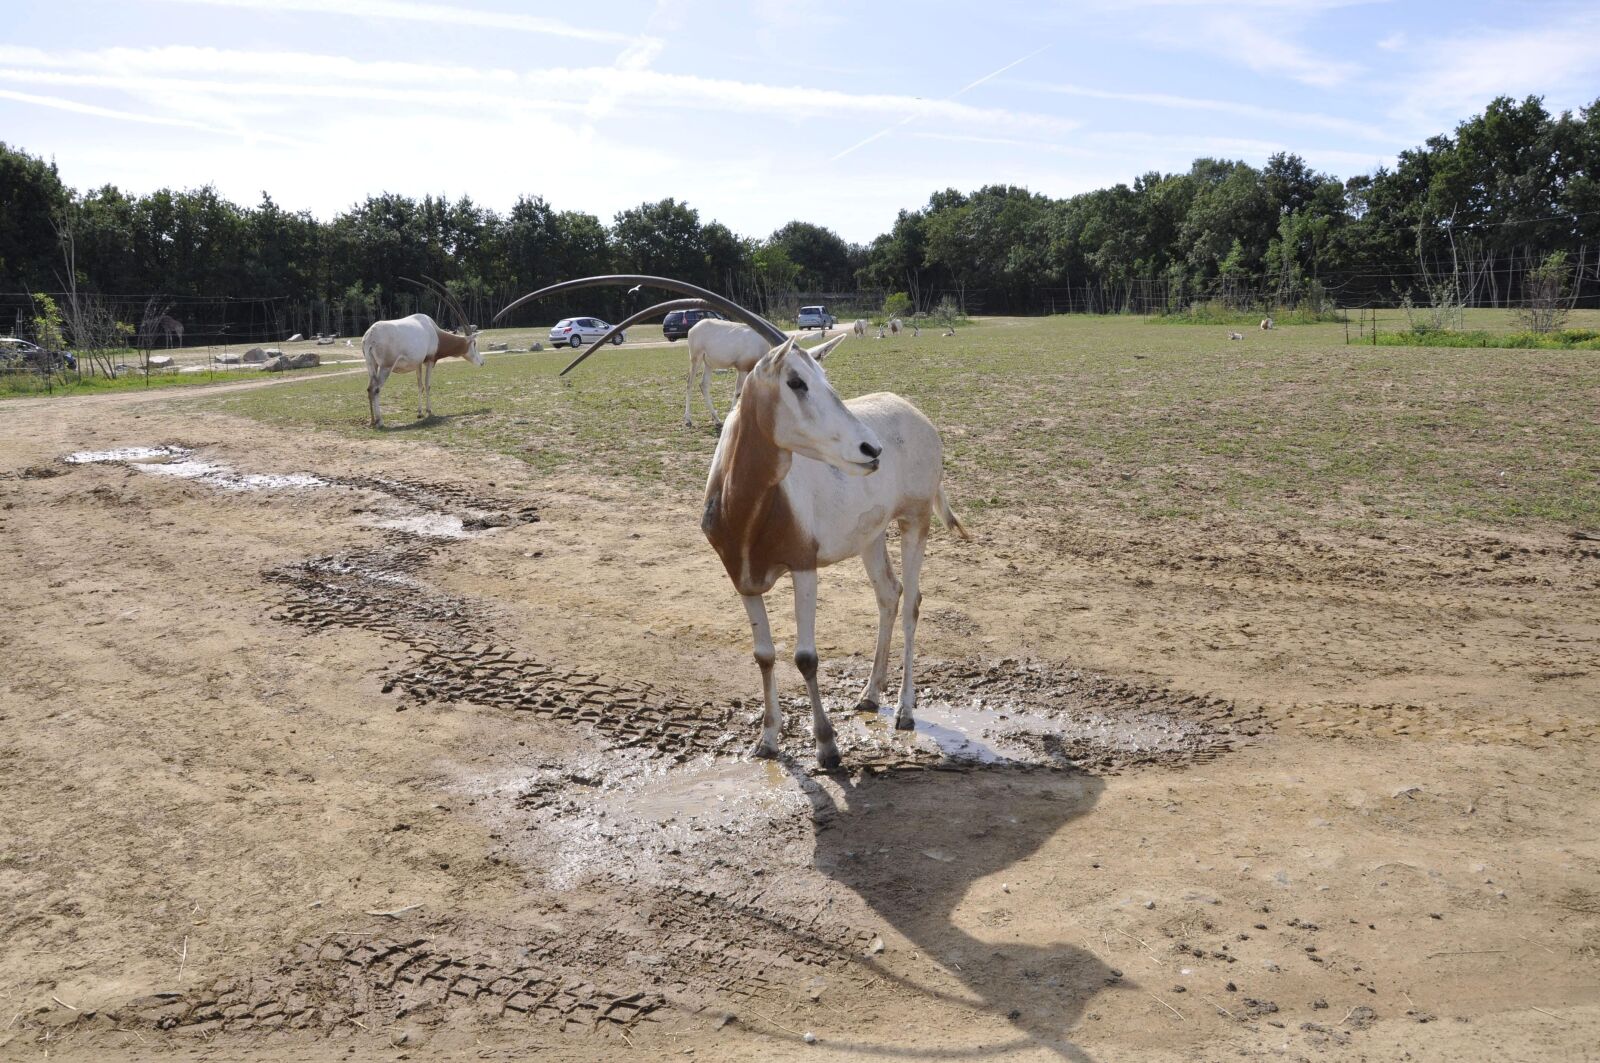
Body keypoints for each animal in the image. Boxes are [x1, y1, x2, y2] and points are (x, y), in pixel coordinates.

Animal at [361, 276, 483, 428]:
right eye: (475, 344)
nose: (482, 362)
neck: (435, 332)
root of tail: (370, 335)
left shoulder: (418, 363)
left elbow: (420, 385)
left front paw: (419, 413)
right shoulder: (430, 360)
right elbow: (428, 384)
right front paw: (429, 411)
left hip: (372, 365)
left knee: (370, 388)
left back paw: (372, 421)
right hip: (386, 367)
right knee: (376, 388)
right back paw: (380, 421)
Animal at [495, 276, 967, 769]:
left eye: (824, 380)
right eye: (796, 381)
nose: (871, 450)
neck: (748, 504)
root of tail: (916, 415)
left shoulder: (804, 567)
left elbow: (806, 657)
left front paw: (826, 746)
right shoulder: (741, 578)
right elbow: (764, 654)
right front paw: (768, 740)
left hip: (914, 521)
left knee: (912, 602)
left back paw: (906, 712)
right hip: (869, 537)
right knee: (888, 595)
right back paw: (870, 695)